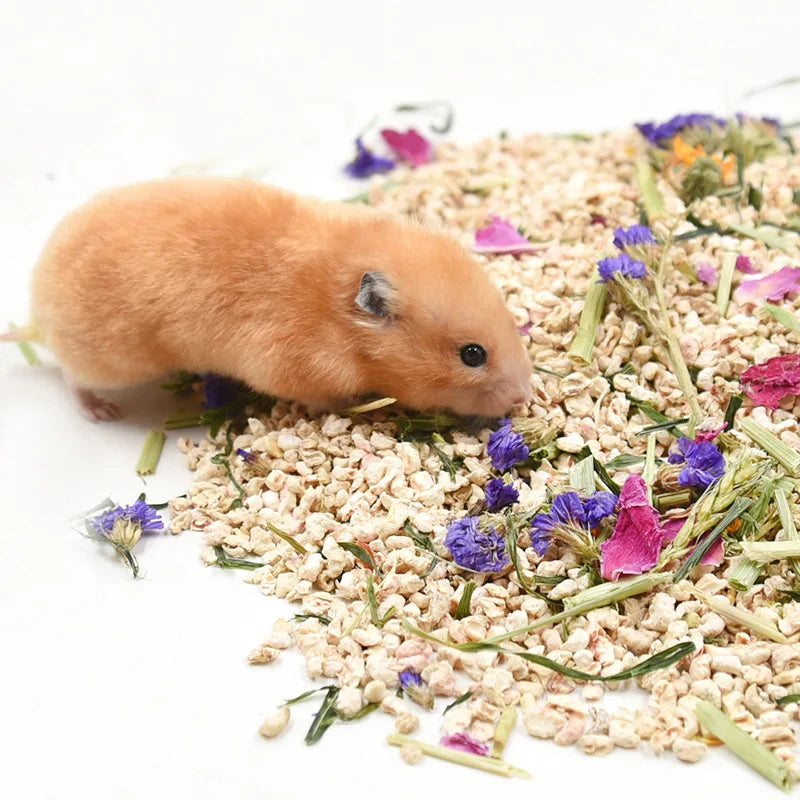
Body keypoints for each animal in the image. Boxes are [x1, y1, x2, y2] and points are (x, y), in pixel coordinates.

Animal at [11, 177, 533, 420]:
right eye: (472, 355)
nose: (524, 398)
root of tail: (37, 310)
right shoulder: (298, 370)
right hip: (111, 362)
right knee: (70, 376)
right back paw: (101, 411)